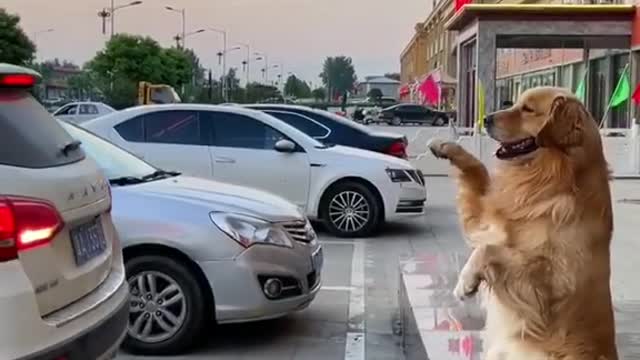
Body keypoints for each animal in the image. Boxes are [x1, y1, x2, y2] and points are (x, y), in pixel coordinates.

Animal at [428, 87, 616, 360]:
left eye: (527, 109)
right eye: (515, 103)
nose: (486, 119)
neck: (549, 181)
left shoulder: (550, 284)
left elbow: (489, 250)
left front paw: (466, 281)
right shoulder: (489, 224)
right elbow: (477, 170)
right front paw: (445, 146)